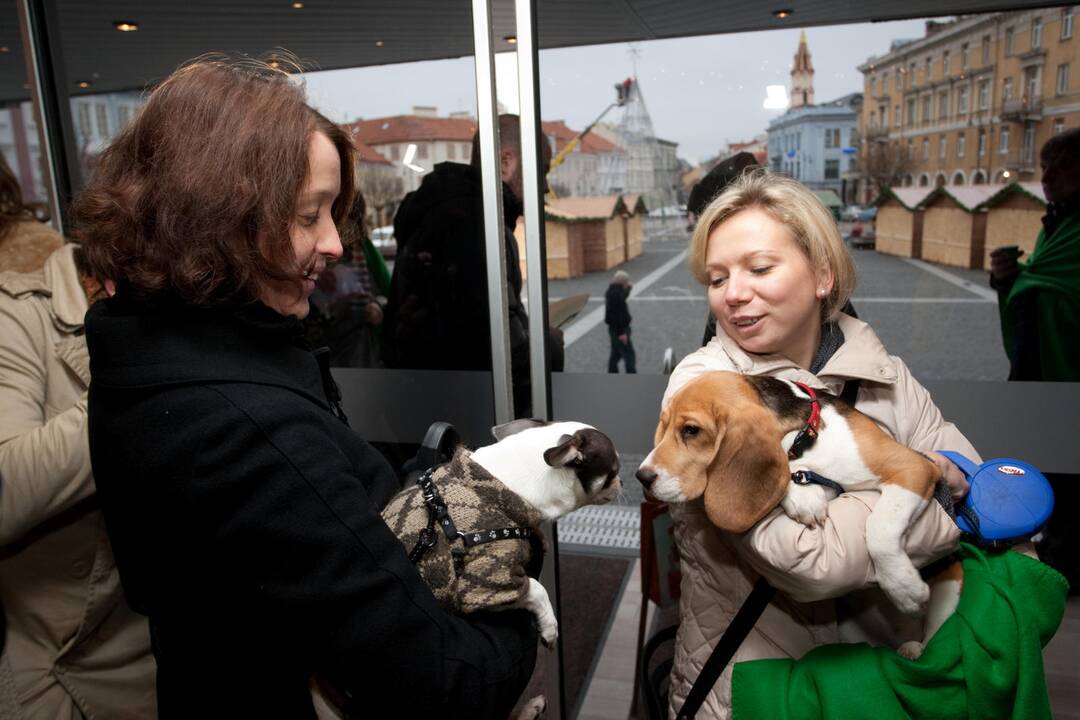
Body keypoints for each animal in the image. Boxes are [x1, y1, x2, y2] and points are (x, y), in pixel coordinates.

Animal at [630, 371, 963, 660]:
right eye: (663, 427)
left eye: (691, 430)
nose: (642, 477)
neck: (804, 438)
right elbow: (793, 475)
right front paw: (803, 496)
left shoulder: (914, 467)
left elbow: (879, 526)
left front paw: (904, 588)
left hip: (950, 591)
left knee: (935, 631)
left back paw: (916, 646)